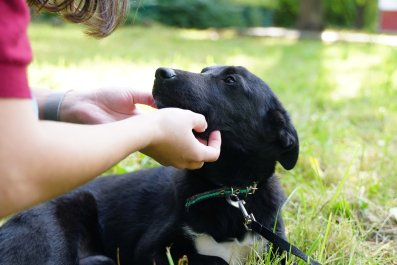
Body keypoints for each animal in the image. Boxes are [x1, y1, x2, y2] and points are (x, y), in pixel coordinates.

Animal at [0, 66, 296, 264]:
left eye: (230, 80)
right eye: (204, 70)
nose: (161, 72)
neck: (228, 190)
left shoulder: (278, 250)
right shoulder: (151, 250)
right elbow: (212, 259)